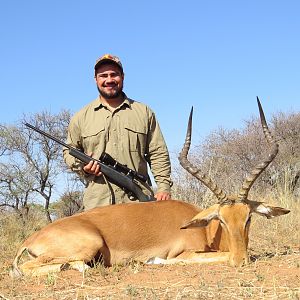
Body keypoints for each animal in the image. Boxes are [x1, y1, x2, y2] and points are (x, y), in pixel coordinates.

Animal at [11, 98, 288, 276]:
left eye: (248, 218)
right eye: (221, 219)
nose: (240, 261)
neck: (205, 230)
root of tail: (30, 238)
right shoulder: (184, 254)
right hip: (89, 244)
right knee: (25, 269)